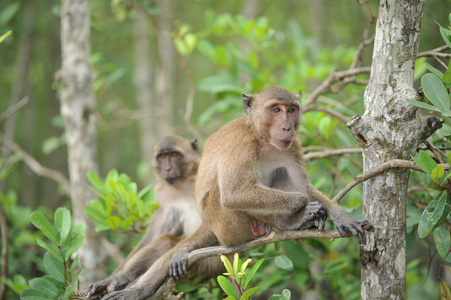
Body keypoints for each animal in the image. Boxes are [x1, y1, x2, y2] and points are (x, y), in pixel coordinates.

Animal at [81, 135, 207, 298]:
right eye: (162, 157)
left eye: (174, 154)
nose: (167, 169)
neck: (182, 182)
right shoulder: (162, 194)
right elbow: (156, 233)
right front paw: (114, 278)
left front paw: (181, 251)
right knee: (165, 240)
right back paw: (117, 280)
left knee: (173, 252)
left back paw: (139, 291)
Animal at [101, 85, 370, 298]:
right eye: (276, 110)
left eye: (292, 109)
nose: (286, 128)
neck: (262, 137)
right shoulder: (241, 146)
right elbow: (235, 195)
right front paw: (305, 208)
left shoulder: (292, 146)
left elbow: (304, 186)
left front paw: (341, 216)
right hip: (229, 232)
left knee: (279, 172)